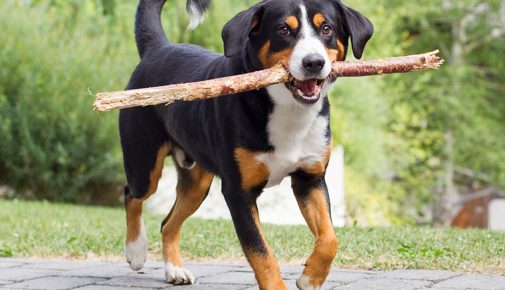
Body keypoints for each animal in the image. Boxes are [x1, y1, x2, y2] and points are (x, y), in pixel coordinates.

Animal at [118, 0, 370, 288]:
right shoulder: (238, 192)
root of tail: (159, 48)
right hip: (144, 165)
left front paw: (312, 276)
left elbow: (329, 238)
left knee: (168, 223)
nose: (314, 62)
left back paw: (175, 270)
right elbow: (260, 251)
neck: (288, 112)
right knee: (132, 195)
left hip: (197, 183)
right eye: (284, 29)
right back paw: (136, 249)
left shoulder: (310, 179)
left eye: (326, 28)